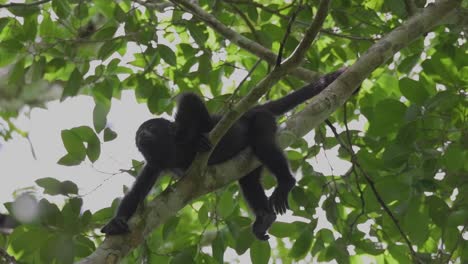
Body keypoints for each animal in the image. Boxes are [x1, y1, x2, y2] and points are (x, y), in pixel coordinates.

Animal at [101, 68, 344, 241]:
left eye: (150, 128)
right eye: (139, 133)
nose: (141, 135)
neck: (172, 149)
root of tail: (255, 109)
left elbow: (192, 102)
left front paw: (196, 137)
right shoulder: (154, 163)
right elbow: (136, 193)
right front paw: (117, 222)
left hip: (262, 119)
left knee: (264, 145)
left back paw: (286, 182)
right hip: (248, 161)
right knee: (249, 181)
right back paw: (264, 217)